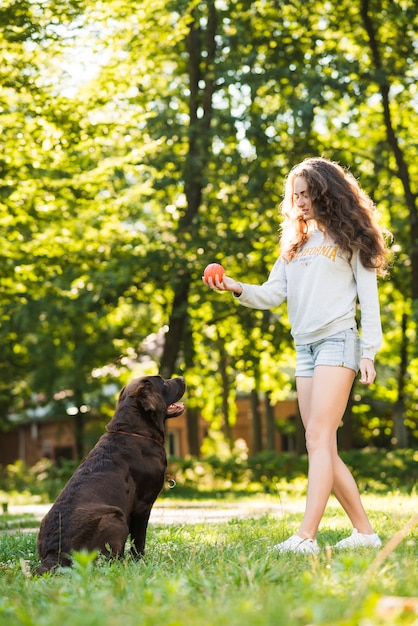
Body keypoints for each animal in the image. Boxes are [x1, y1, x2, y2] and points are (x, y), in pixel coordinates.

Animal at [36, 372, 185, 572]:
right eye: (162, 380)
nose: (182, 378)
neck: (134, 430)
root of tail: (55, 553)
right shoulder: (143, 504)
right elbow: (139, 539)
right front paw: (141, 561)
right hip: (114, 516)